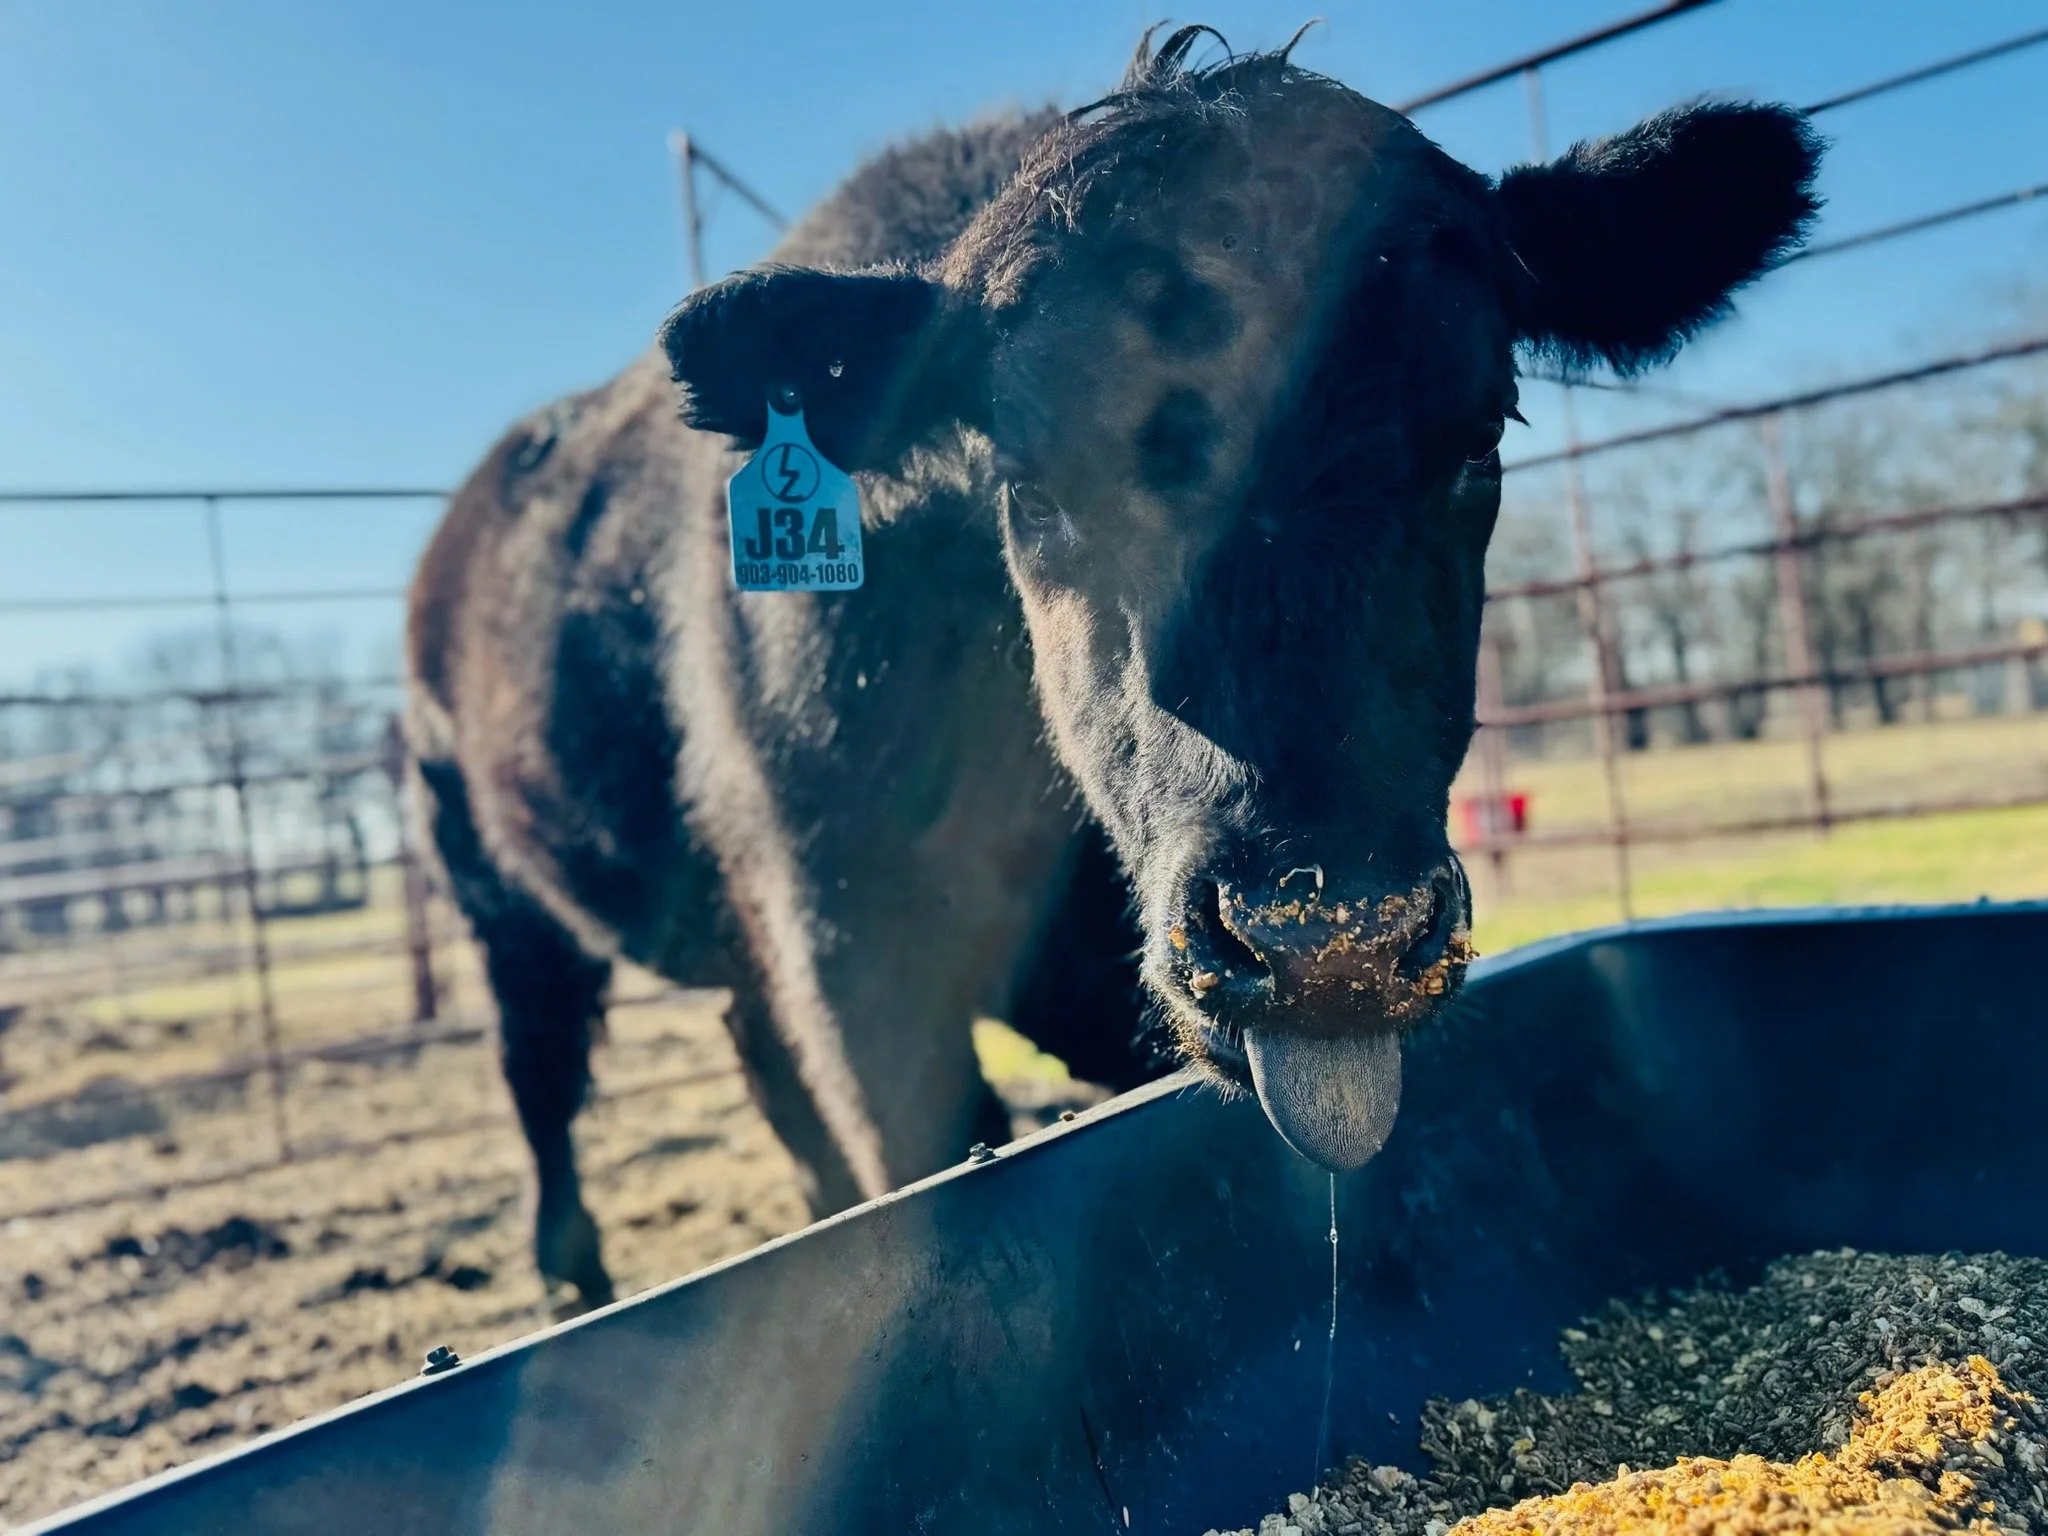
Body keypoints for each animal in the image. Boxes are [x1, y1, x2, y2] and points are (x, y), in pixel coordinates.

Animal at [406, 27, 1821, 1309]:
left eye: (1479, 436)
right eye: (1031, 484)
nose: (1330, 940)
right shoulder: (853, 944)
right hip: (489, 880)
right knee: (538, 1060)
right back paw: (568, 1273)